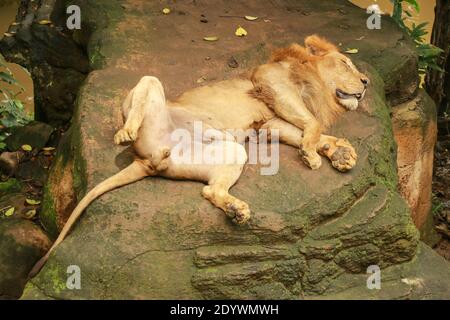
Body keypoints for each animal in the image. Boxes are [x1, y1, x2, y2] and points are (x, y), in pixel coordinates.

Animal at [29, 33, 370, 276]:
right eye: (346, 63)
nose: (366, 82)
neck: (316, 85)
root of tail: (145, 161)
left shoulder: (269, 124)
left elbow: (309, 133)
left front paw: (340, 153)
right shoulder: (273, 86)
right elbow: (312, 124)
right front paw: (316, 155)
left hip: (231, 151)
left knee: (210, 190)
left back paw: (237, 210)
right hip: (152, 90)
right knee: (144, 94)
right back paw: (124, 133)